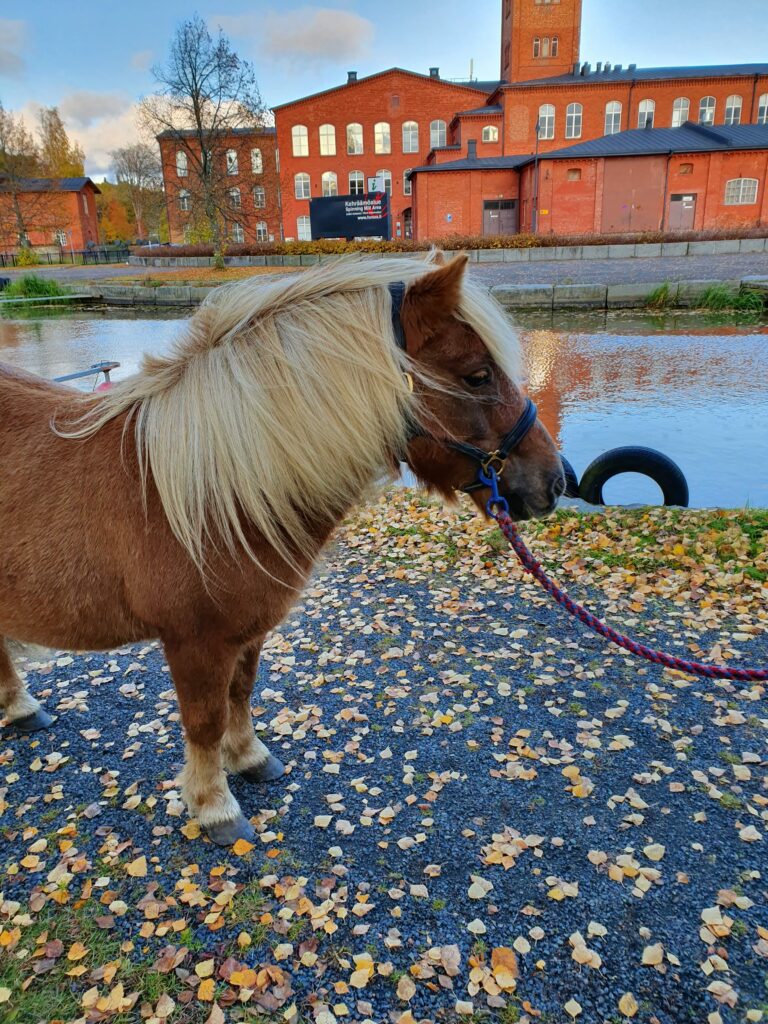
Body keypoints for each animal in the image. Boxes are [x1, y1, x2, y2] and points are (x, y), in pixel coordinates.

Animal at [0, 251, 565, 843]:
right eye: (477, 375)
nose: (556, 480)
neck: (215, 491)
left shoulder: (246, 631)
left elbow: (241, 694)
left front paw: (249, 759)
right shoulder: (194, 642)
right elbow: (204, 721)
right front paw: (215, 807)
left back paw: (20, 709)